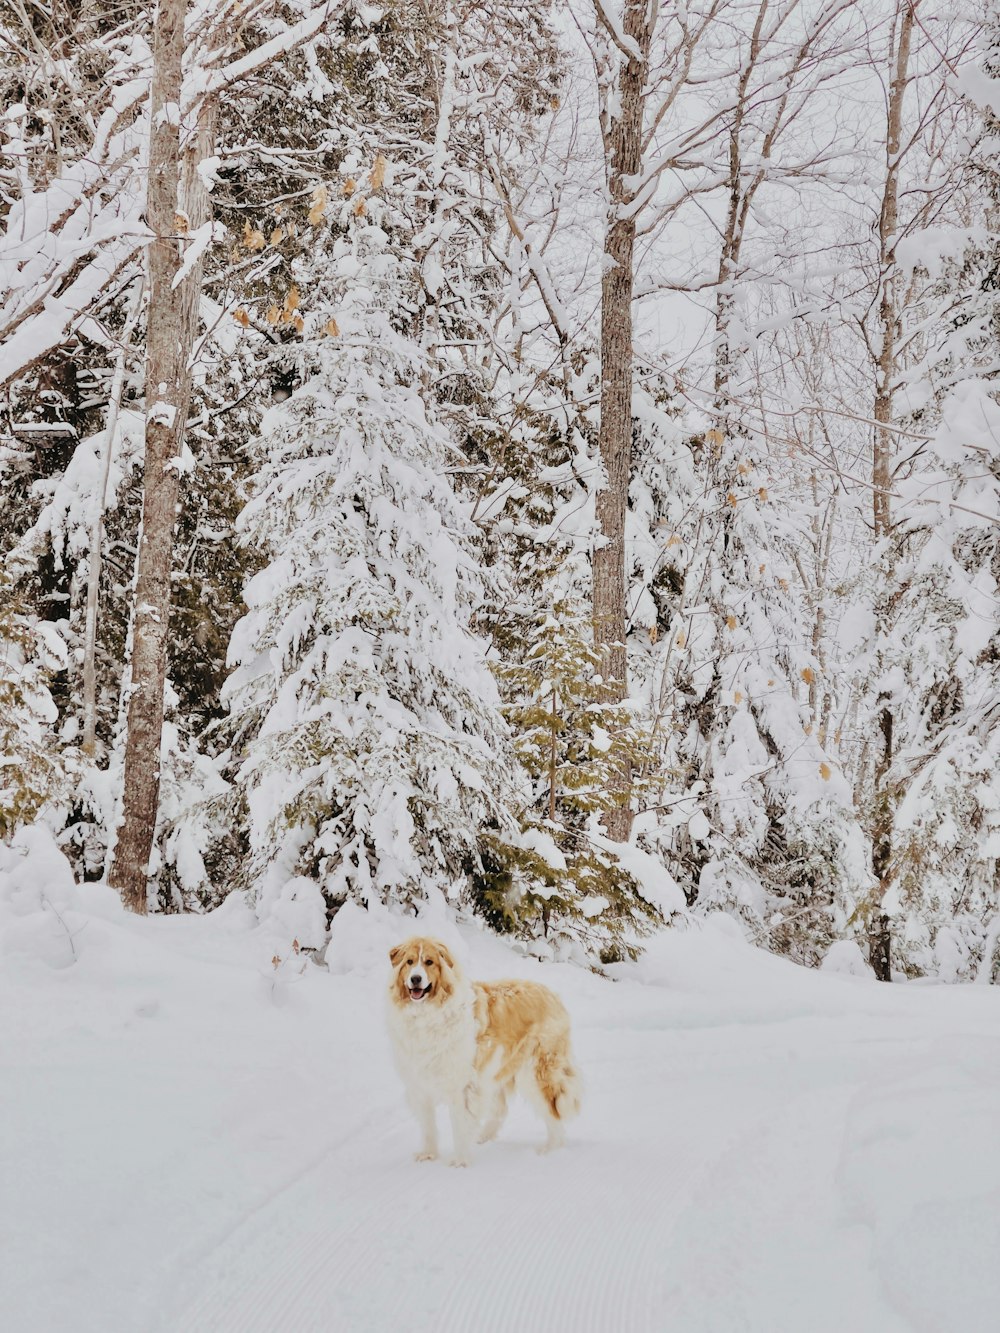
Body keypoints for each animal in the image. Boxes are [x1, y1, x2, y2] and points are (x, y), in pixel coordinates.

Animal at [386, 938, 584, 1167]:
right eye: (409, 962)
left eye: (429, 962)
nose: (415, 979)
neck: (427, 1014)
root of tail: (551, 993)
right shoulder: (420, 1084)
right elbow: (428, 1126)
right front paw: (428, 1154)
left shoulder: (461, 1085)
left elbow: (459, 1123)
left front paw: (460, 1161)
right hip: (493, 1070)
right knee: (501, 1109)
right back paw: (484, 1137)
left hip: (534, 1073)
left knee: (553, 1111)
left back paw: (549, 1150)